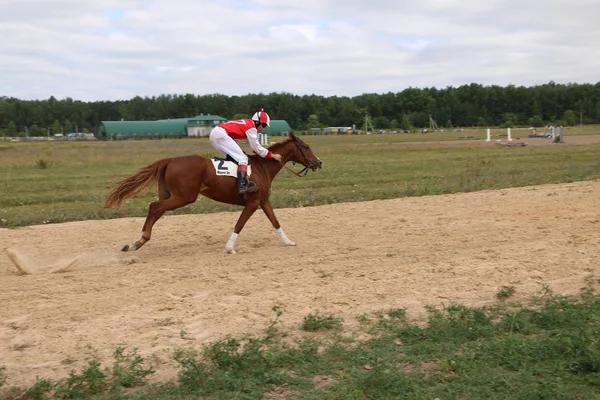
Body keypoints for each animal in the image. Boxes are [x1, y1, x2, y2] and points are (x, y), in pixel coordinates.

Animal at [102, 134, 324, 253]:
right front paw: (230, 247)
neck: (263, 167)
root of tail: (170, 160)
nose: (319, 162)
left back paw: (137, 242)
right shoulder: (253, 202)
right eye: (306, 146)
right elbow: (240, 224)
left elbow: (275, 221)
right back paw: (140, 240)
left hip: (170, 195)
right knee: (154, 207)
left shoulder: (262, 201)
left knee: (156, 210)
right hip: (184, 197)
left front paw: (287, 241)